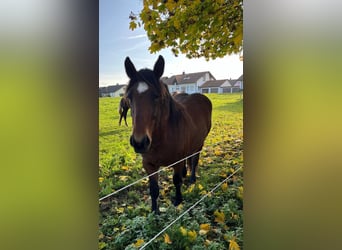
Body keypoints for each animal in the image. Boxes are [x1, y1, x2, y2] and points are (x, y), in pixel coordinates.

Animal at [124, 56, 212, 213]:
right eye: (129, 97)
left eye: (156, 96)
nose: (140, 143)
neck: (160, 139)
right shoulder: (149, 165)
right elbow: (153, 189)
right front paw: (155, 211)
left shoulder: (177, 162)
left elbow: (176, 181)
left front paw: (178, 200)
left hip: (199, 144)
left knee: (194, 160)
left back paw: (192, 178)